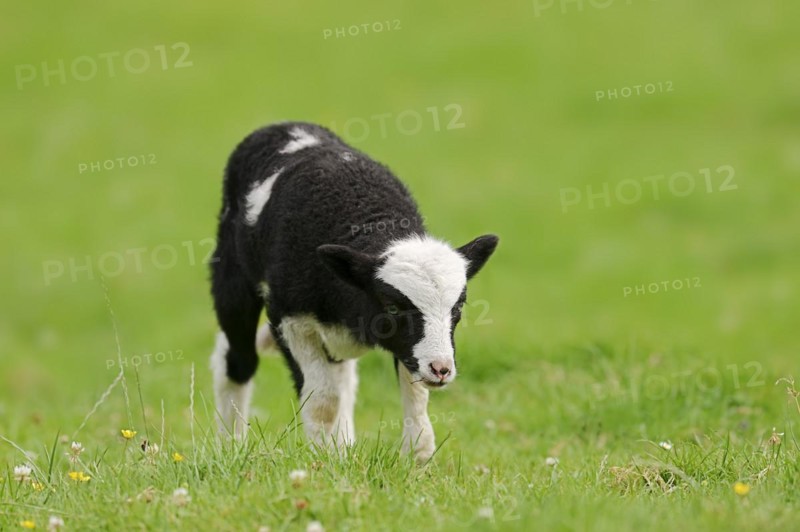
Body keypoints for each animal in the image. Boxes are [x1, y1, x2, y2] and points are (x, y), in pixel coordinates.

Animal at [210, 122, 498, 461]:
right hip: (232, 279)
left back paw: (344, 445)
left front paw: (418, 456)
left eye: (458, 307)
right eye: (392, 307)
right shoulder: (289, 317)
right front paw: (322, 459)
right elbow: (323, 399)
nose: (441, 369)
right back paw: (230, 444)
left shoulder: (408, 348)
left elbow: (415, 394)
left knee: (344, 377)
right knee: (238, 361)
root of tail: (284, 126)